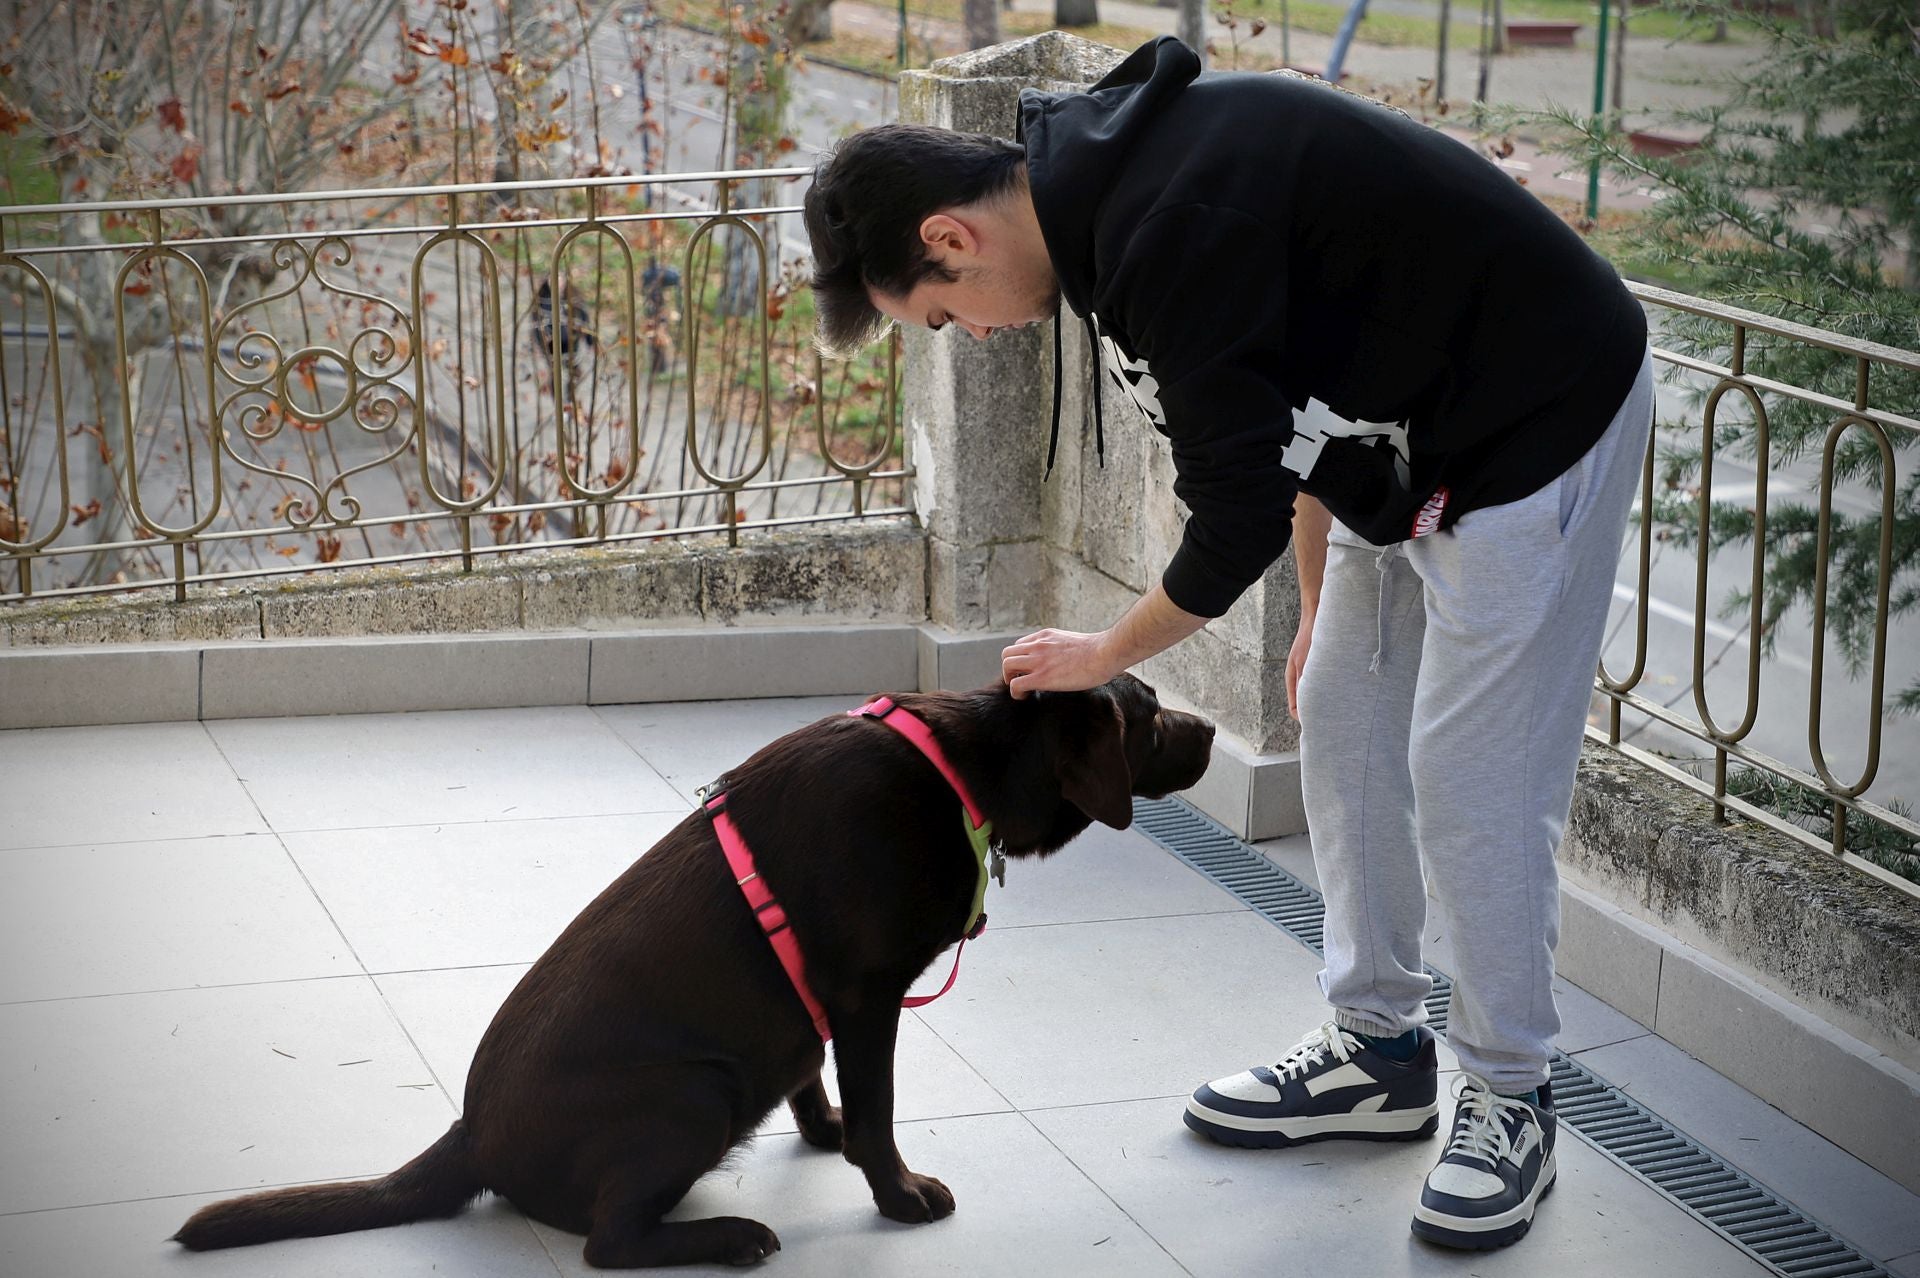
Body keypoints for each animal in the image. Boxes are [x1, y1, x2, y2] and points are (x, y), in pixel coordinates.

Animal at [172, 675, 1205, 1266]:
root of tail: (472, 1136)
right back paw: (729, 1239)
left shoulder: (817, 1003)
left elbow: (812, 1071)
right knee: (605, 1245)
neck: (958, 768)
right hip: (696, 1092)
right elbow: (878, 1113)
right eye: (1153, 716)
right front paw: (900, 1195)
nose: (1205, 732)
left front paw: (823, 1130)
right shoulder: (870, 995)